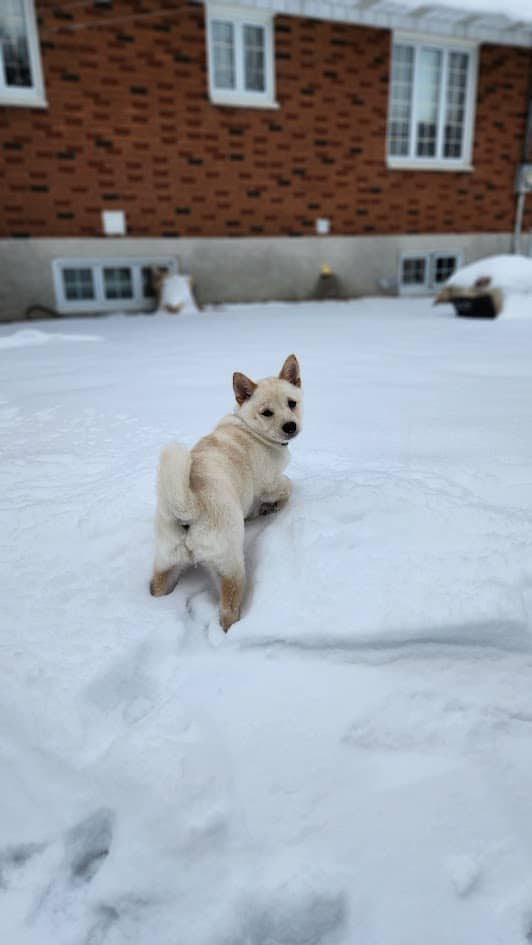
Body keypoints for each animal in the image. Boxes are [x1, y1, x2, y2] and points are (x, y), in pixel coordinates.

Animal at [149, 358, 304, 632]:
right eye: (267, 412)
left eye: (292, 403)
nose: (290, 426)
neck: (250, 426)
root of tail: (189, 507)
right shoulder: (269, 482)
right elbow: (287, 485)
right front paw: (270, 508)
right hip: (231, 566)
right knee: (228, 609)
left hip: (166, 561)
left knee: (159, 585)